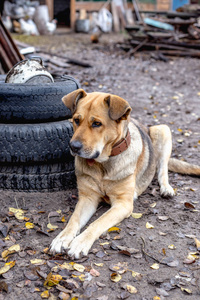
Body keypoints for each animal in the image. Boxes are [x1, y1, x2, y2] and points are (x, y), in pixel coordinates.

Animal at [50, 88, 200, 258]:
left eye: (97, 123)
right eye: (76, 120)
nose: (73, 146)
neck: (103, 164)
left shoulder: (123, 204)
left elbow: (98, 222)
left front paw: (80, 242)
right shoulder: (87, 198)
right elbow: (73, 220)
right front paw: (62, 238)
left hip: (163, 130)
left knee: (162, 168)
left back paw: (166, 188)